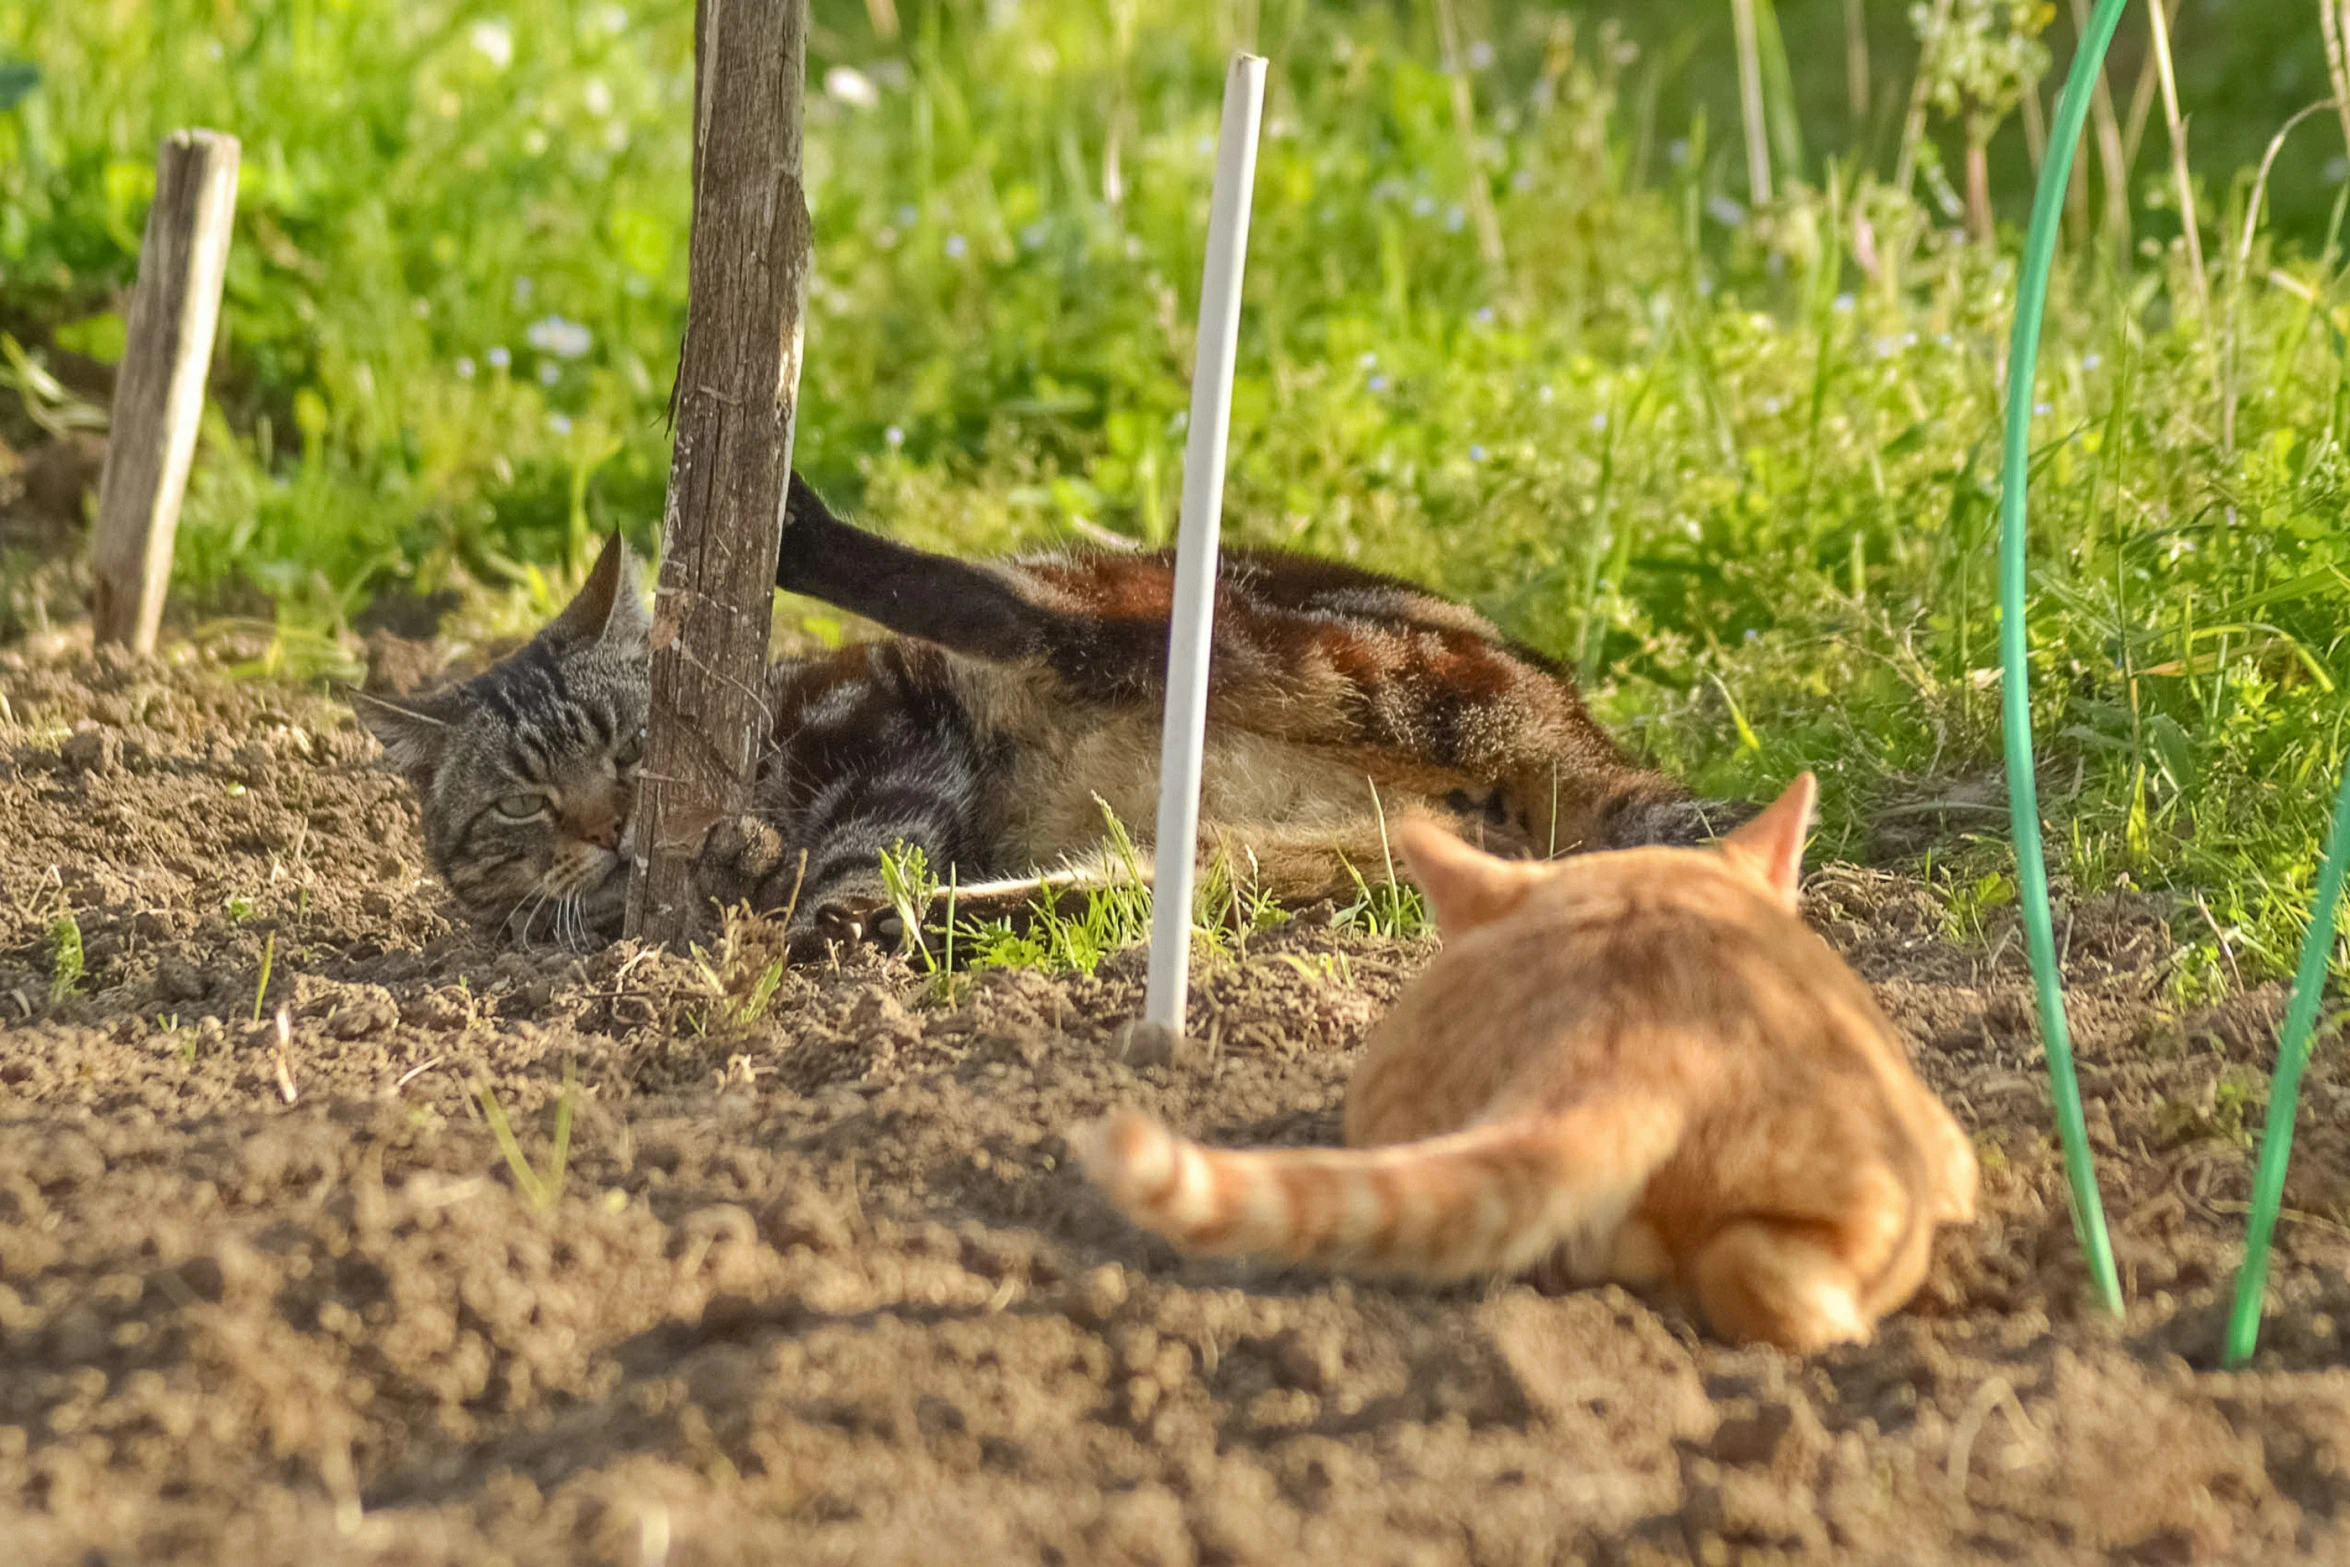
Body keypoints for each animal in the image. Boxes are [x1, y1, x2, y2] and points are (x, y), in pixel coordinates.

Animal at [352, 472, 1748, 949]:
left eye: (628, 749)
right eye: (521, 804)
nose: (602, 828)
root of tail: (1580, 729)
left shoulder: (896, 721)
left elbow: (868, 834)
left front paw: (794, 885)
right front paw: (747, 880)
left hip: (1174, 610)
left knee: (1022, 610)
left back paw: (809, 530)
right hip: (1287, 854)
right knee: (1101, 897)